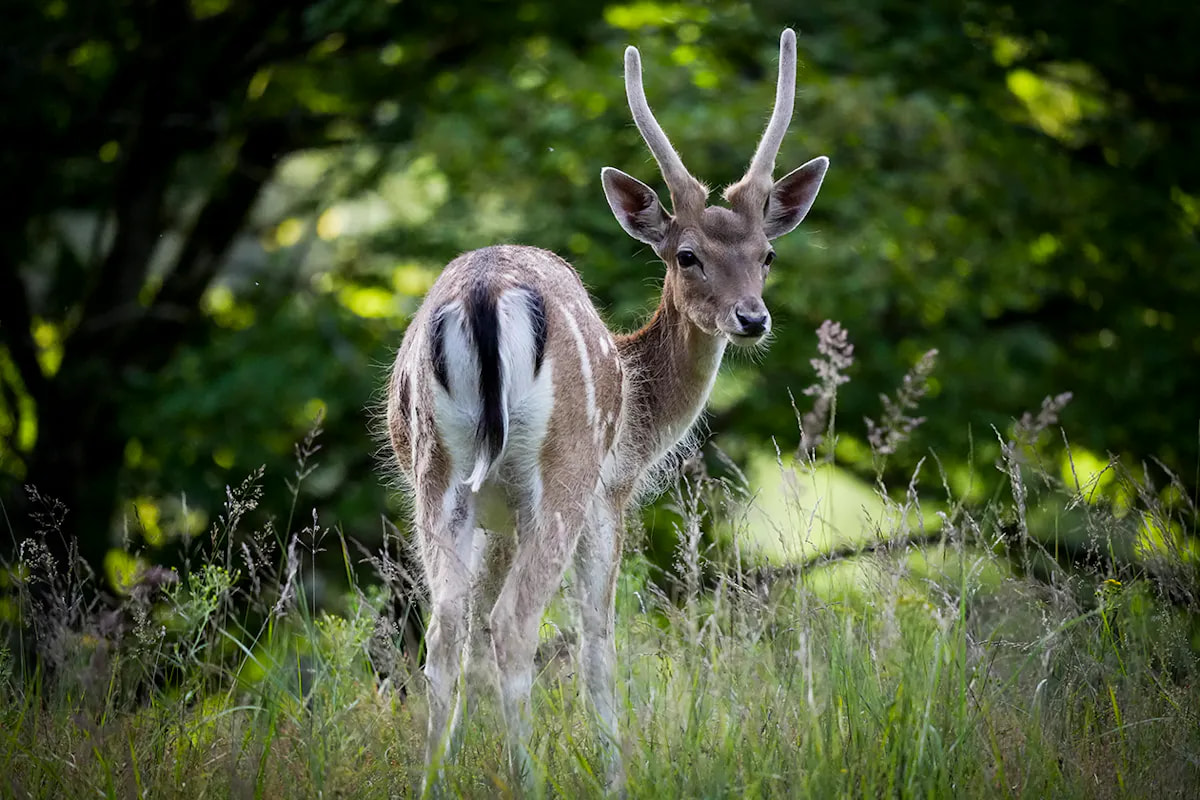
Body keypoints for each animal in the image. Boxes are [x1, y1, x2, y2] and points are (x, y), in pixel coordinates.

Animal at [388, 28, 830, 791]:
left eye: (767, 253)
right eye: (687, 255)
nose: (752, 319)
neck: (643, 427)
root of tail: (483, 295)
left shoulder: (500, 519)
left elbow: (471, 643)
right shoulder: (608, 497)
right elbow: (599, 640)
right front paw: (616, 775)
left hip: (438, 477)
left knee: (445, 633)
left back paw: (433, 781)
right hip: (562, 471)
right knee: (514, 625)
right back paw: (528, 781)